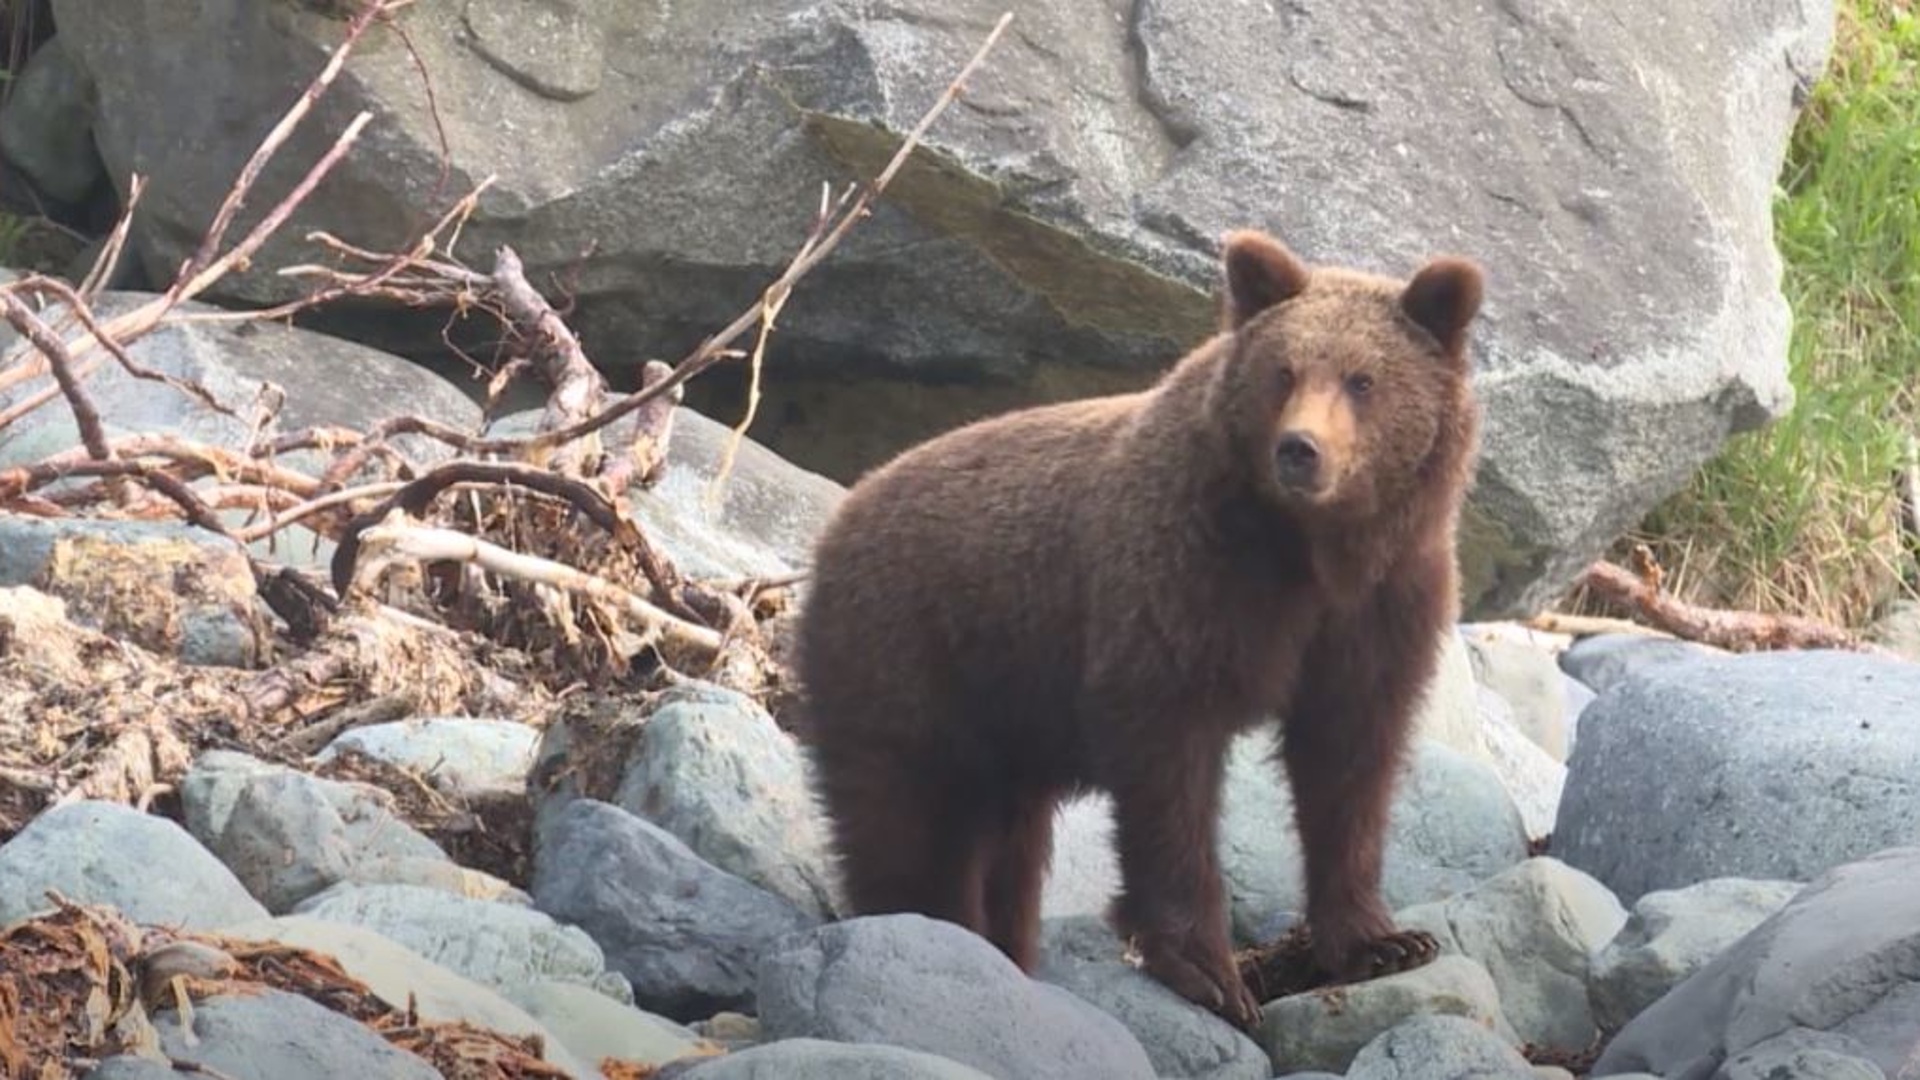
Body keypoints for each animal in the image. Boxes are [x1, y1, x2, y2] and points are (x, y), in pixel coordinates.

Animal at [787, 228, 1474, 1022]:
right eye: (1284, 371)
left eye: (1364, 380)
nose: (1300, 449)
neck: (1311, 552)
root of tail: (840, 516)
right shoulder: (1185, 579)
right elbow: (1168, 764)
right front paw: (1209, 970)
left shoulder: (1383, 605)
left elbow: (1350, 763)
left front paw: (1383, 941)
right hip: (913, 655)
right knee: (906, 818)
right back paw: (930, 929)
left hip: (1003, 716)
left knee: (1004, 845)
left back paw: (1005, 949)